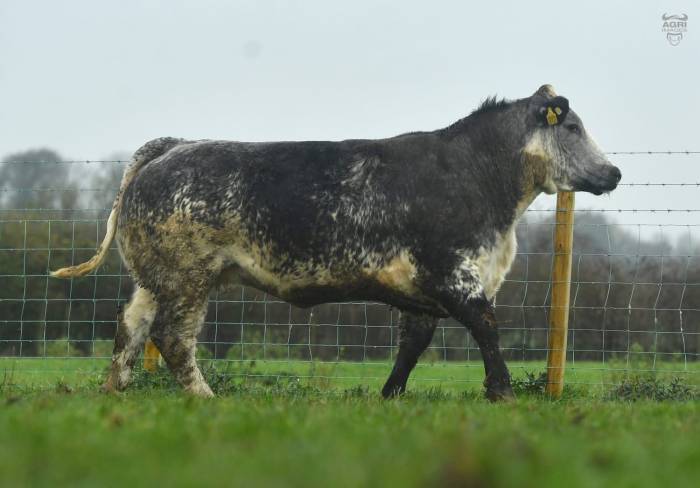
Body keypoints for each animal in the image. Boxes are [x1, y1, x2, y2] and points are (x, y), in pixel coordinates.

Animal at [51, 84, 621, 400]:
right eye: (571, 126)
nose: (613, 172)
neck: (479, 179)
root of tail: (173, 146)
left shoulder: (422, 290)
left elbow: (414, 344)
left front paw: (389, 396)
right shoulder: (453, 272)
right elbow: (485, 326)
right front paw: (501, 392)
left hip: (155, 278)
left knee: (130, 326)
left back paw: (115, 391)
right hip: (189, 276)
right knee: (172, 337)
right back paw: (205, 397)